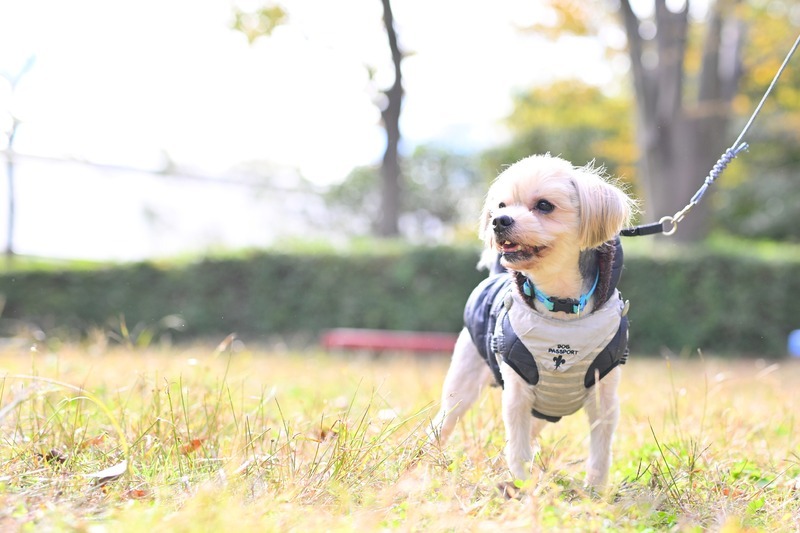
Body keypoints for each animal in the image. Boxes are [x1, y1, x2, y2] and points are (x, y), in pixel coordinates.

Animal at [430, 154, 636, 490]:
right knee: (445, 421)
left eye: (544, 205)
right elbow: (518, 443)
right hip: (464, 381)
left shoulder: (603, 393)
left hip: (543, 410)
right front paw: (523, 485)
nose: (499, 221)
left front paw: (595, 490)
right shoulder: (518, 389)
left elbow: (601, 446)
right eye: (501, 205)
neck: (561, 307)